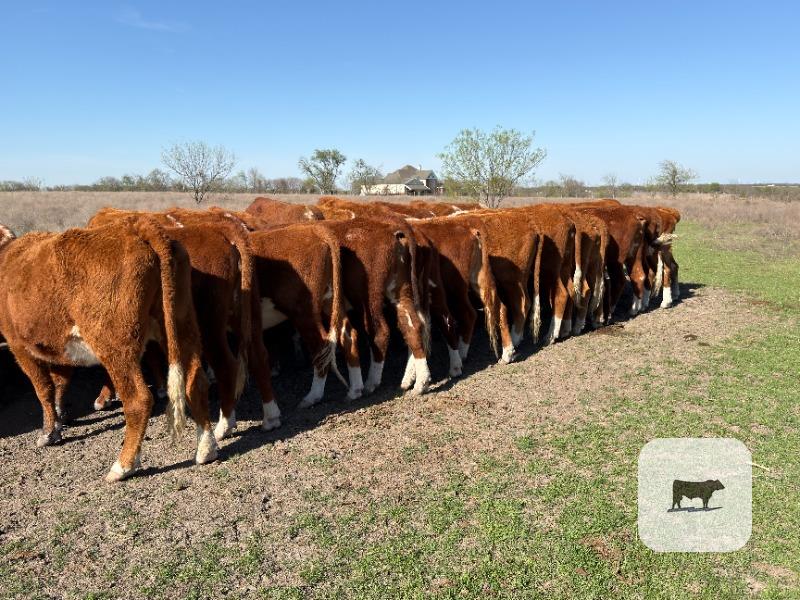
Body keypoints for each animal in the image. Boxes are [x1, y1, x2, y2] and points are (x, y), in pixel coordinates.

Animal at [0, 219, 217, 482]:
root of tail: (140, 229)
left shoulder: (18, 345)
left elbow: (44, 389)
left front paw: (49, 432)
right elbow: (60, 383)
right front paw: (60, 419)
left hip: (115, 345)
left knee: (138, 400)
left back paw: (123, 466)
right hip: (181, 326)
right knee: (196, 382)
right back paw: (206, 449)